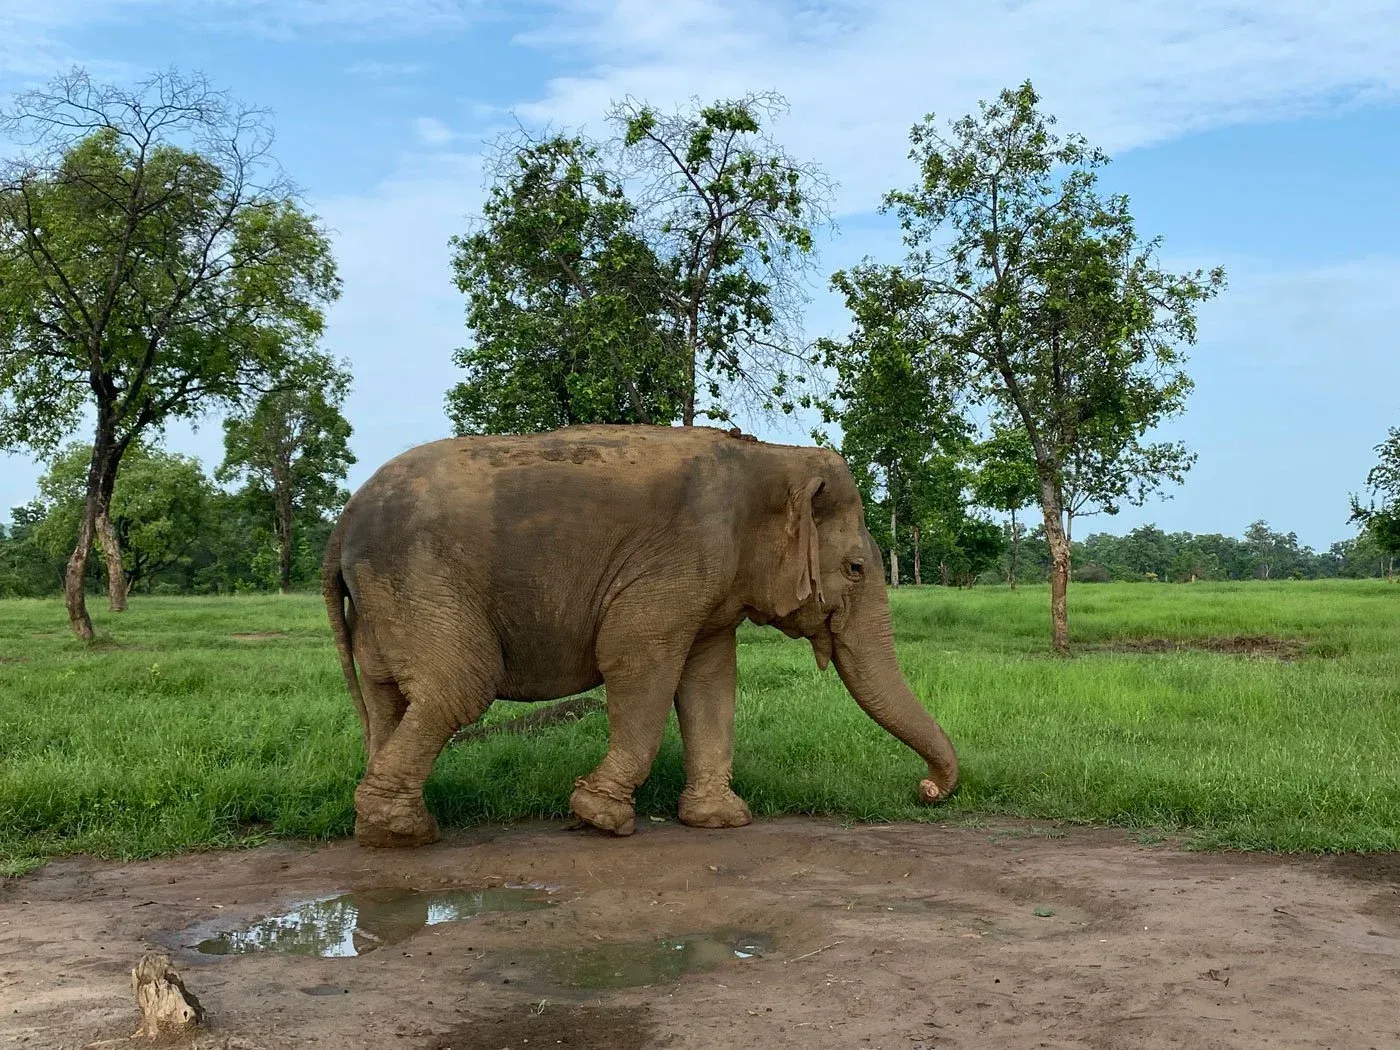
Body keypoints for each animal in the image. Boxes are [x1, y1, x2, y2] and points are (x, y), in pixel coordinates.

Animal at [322, 424, 958, 847]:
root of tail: (343, 521)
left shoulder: (713, 588)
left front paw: (721, 820)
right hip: (422, 580)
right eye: (855, 568)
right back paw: (405, 833)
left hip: (385, 602)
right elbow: (637, 660)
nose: (925, 790)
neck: (773, 457)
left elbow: (709, 681)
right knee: (460, 686)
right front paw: (601, 817)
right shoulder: (678, 561)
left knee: (386, 697)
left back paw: (386, 825)